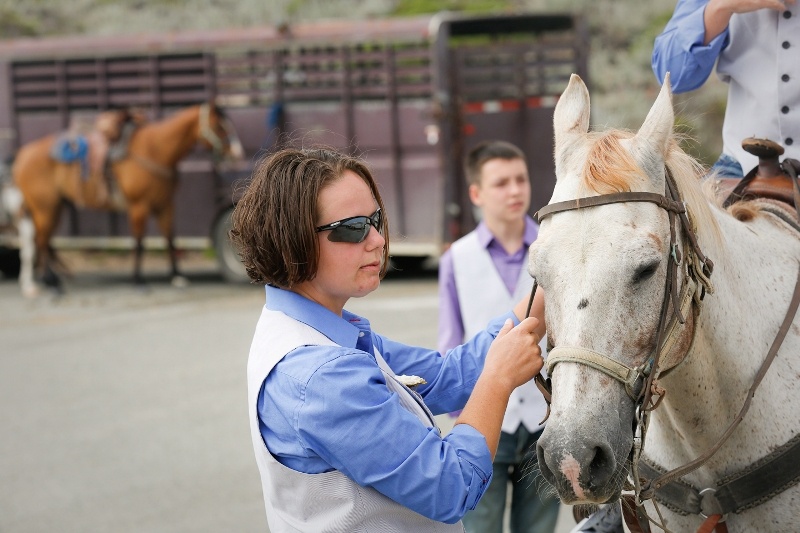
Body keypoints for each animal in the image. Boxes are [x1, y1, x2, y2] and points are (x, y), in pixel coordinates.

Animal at [12, 102, 242, 294]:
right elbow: (139, 243)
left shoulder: (165, 205)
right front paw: (138, 280)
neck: (154, 150)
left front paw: (177, 276)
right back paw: (52, 283)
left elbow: (170, 238)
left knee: (41, 241)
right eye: (220, 127)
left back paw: (49, 281)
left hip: (54, 207)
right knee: (41, 241)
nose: (237, 153)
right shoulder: (139, 206)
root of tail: (22, 155)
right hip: (45, 208)